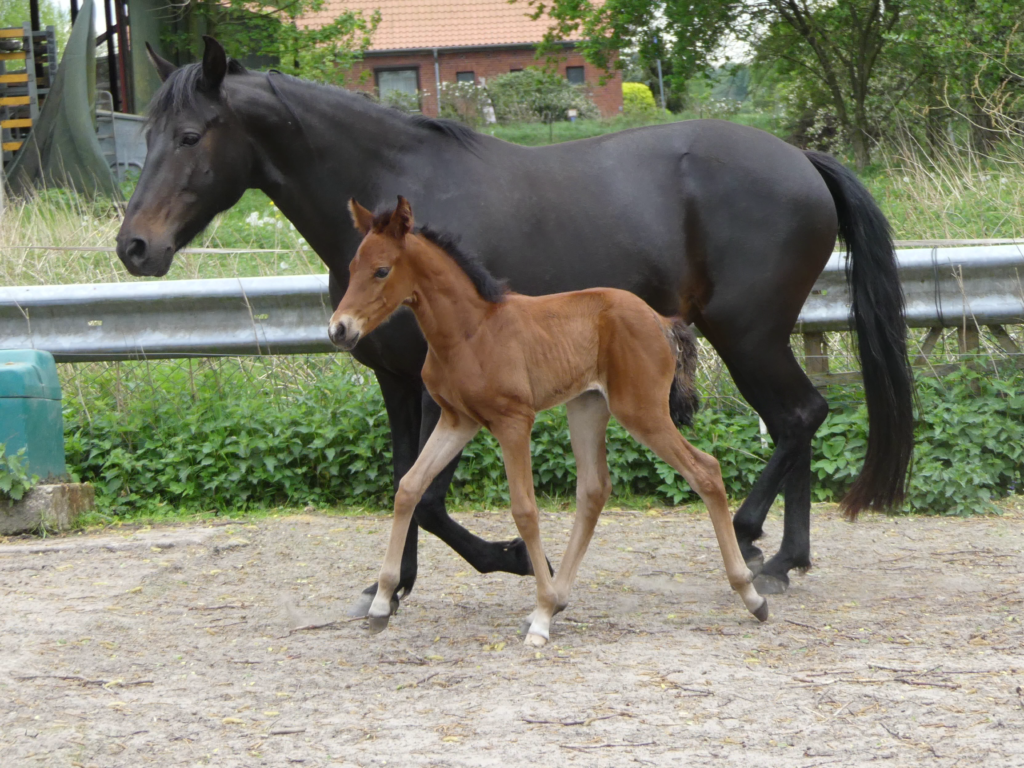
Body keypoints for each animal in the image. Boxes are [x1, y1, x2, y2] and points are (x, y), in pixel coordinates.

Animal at [329, 195, 770, 647]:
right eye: (352, 266)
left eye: (382, 270)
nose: (338, 330)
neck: (470, 332)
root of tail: (661, 320)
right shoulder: (457, 421)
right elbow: (408, 488)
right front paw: (381, 603)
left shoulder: (513, 421)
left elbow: (525, 509)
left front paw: (540, 611)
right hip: (588, 406)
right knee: (594, 489)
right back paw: (559, 598)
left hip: (642, 411)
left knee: (706, 470)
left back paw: (751, 594)